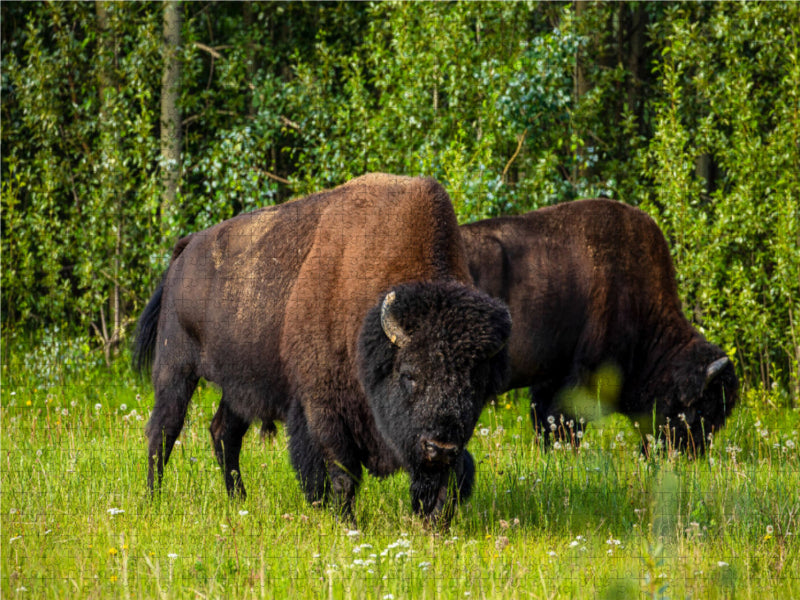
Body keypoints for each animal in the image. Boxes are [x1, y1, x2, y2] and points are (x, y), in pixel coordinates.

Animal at [133, 174, 511, 524]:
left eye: (477, 383)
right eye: (409, 375)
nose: (440, 447)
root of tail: (186, 249)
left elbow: (452, 478)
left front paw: (434, 522)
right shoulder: (323, 407)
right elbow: (341, 471)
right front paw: (345, 522)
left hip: (239, 385)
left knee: (224, 433)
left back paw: (239, 500)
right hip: (175, 368)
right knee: (163, 431)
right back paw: (154, 498)